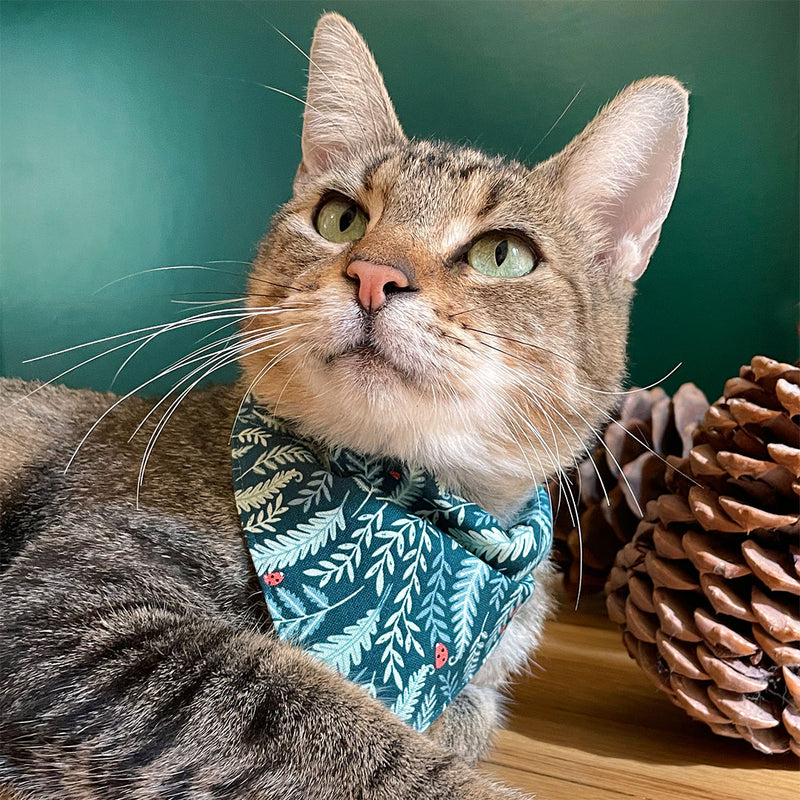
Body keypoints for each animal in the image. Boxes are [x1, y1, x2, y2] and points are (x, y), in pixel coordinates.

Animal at [0, 12, 688, 800]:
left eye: (503, 254)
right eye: (340, 219)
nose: (374, 274)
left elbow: (467, 713)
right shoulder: (77, 611)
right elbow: (346, 731)